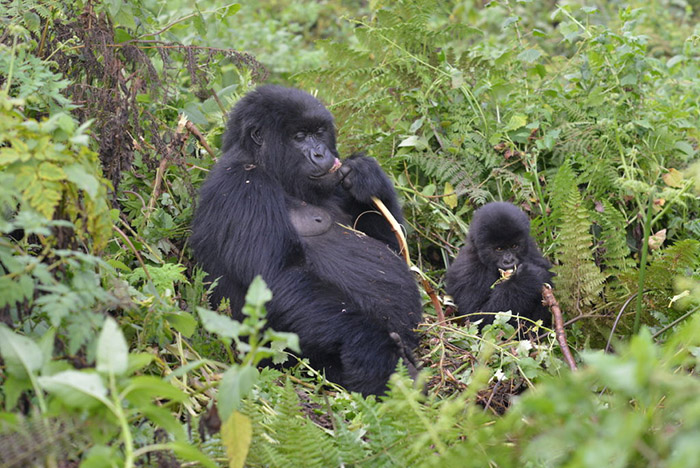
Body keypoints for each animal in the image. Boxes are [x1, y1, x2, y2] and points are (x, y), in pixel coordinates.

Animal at [191, 85, 422, 394]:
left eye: (319, 133)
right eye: (299, 137)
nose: (321, 153)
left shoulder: (334, 183)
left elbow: (393, 248)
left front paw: (367, 175)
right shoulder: (242, 187)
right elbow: (276, 277)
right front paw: (373, 349)